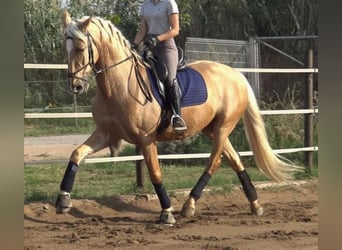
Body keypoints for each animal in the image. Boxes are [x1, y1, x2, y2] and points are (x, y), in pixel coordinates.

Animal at [57, 10, 300, 225]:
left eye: (80, 48)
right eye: (65, 48)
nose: (76, 86)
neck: (120, 86)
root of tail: (235, 75)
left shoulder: (146, 139)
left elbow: (155, 173)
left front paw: (167, 213)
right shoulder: (107, 133)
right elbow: (76, 154)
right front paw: (63, 200)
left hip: (224, 126)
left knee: (215, 161)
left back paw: (189, 205)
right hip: (212, 128)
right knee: (234, 159)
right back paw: (255, 205)